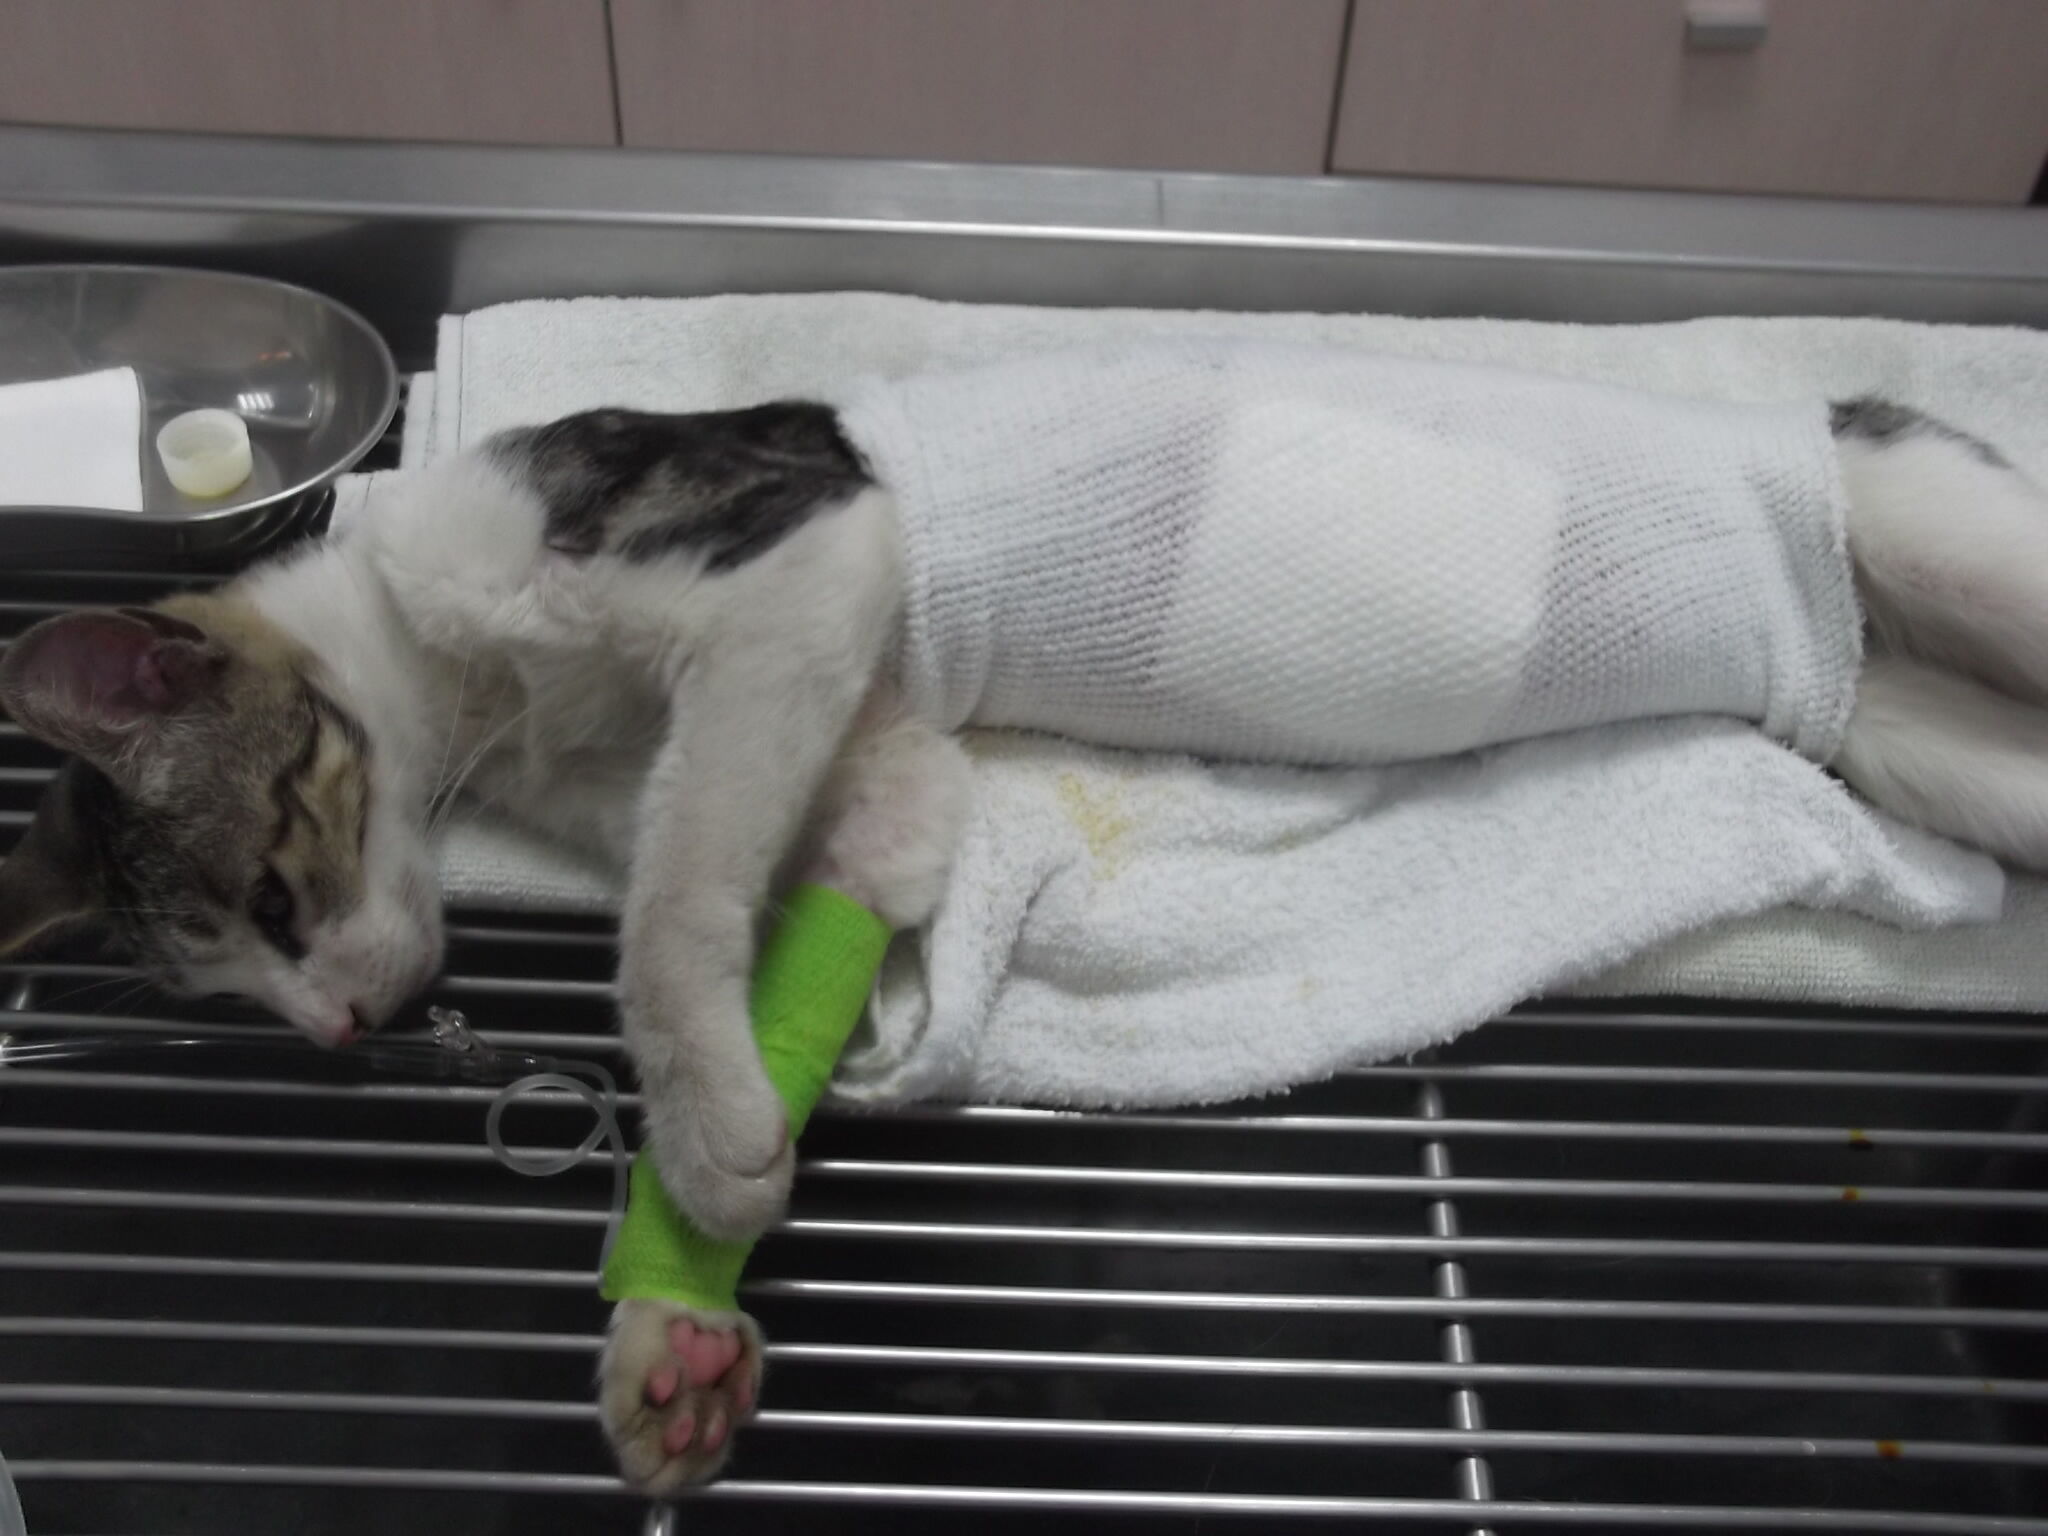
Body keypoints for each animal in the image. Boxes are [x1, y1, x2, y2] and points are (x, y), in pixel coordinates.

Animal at [3, 346, 2048, 1494]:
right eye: (226, 981)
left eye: (276, 894)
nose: (341, 1035)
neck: (478, 697)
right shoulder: (839, 727)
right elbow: (861, 852)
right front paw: (670, 1340)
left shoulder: (793, 551)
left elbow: (672, 904)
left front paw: (709, 1138)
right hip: (1916, 735)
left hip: (1938, 532)